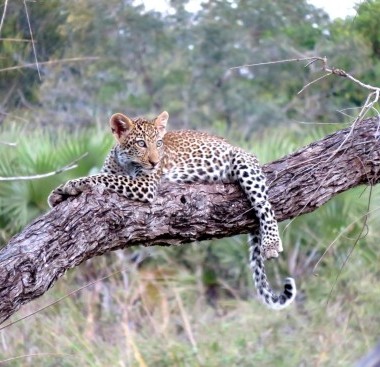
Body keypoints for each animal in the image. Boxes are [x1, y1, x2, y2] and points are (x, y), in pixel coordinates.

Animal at [48, 110, 296, 310]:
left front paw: (72, 184)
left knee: (264, 205)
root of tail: (234, 145)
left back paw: (271, 243)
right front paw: (58, 193)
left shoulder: (145, 185)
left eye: (158, 143)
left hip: (243, 162)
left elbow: (104, 178)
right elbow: (104, 175)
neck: (125, 164)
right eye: (141, 143)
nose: (155, 162)